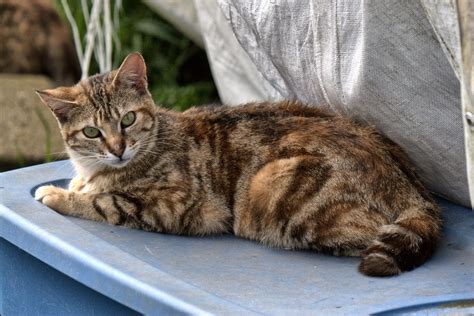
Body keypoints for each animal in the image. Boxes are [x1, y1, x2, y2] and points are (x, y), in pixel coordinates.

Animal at [35, 51, 442, 276]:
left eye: (128, 120)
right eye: (92, 131)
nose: (119, 148)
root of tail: (412, 187)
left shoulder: (169, 204)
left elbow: (103, 202)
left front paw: (56, 195)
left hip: (273, 183)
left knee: (367, 233)